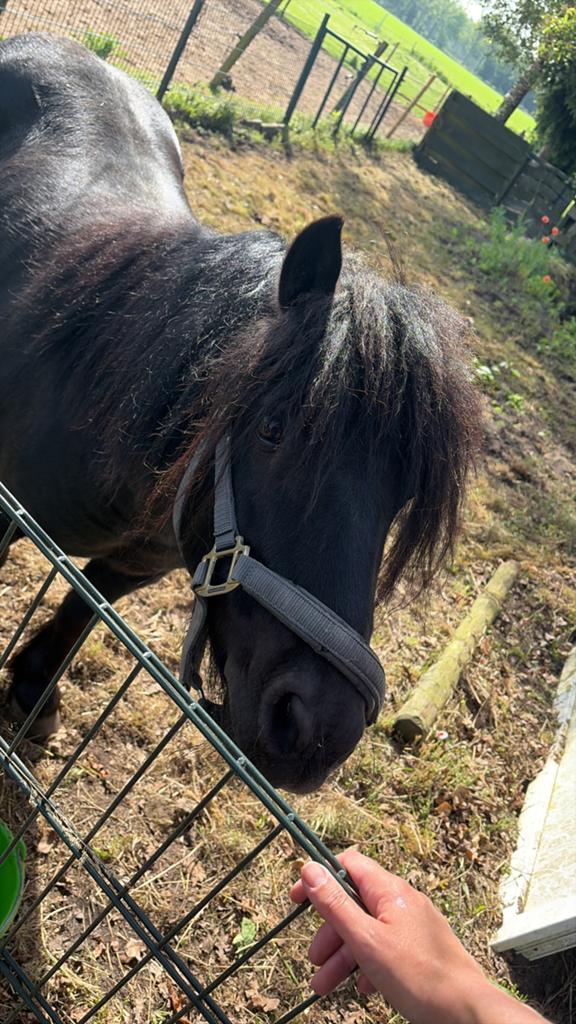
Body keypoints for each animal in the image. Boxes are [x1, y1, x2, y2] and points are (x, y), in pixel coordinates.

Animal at [0, 33, 481, 793]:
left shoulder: (134, 566)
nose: (316, 731)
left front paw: (34, 692)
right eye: (272, 430)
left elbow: (82, 607)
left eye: (404, 495)